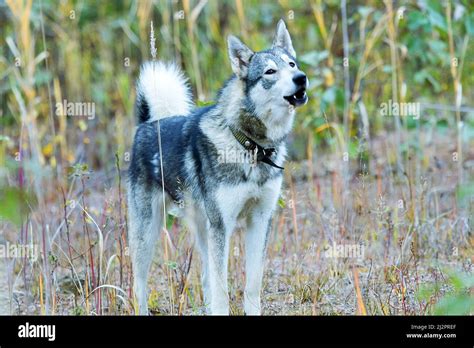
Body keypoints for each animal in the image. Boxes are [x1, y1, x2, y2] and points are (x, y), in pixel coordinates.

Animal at [128, 19, 310, 316]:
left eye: (292, 64)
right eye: (270, 71)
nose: (301, 78)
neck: (249, 145)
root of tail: (147, 124)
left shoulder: (259, 221)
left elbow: (251, 285)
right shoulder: (223, 227)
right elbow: (222, 291)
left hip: (204, 229)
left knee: (205, 279)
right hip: (148, 233)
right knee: (139, 285)